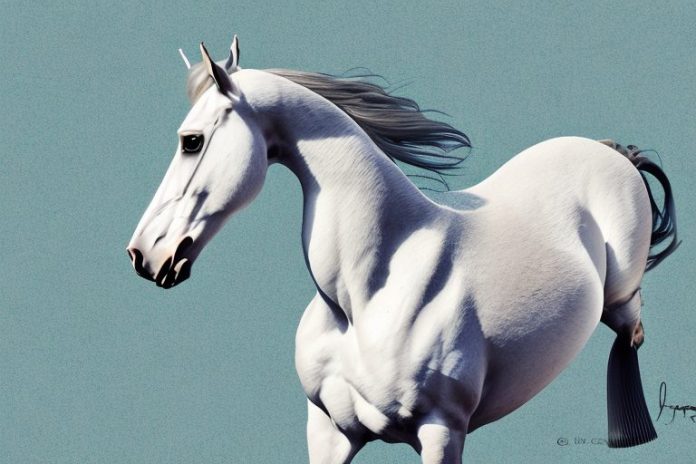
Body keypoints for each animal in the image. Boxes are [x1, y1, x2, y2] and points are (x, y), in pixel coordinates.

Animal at [126, 36, 679, 463]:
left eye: (191, 141)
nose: (143, 255)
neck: (365, 294)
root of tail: (612, 152)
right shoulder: (328, 431)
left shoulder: (441, 430)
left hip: (620, 296)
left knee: (629, 333)